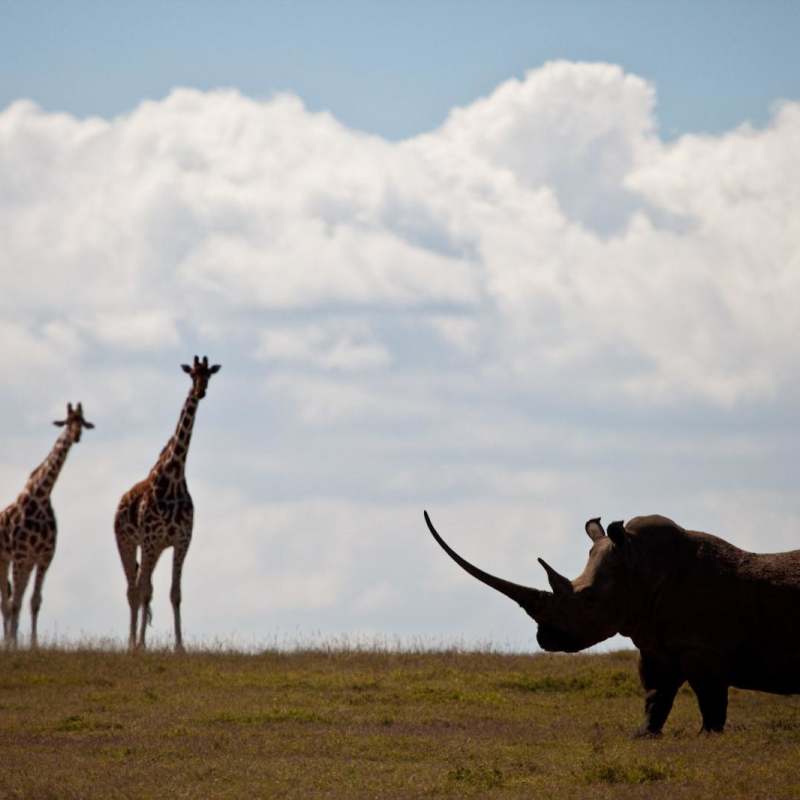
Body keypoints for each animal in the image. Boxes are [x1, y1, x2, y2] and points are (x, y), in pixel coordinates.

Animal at [424, 510, 800, 735]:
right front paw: (644, 735)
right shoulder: (655, 644)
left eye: (589, 600)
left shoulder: (702, 648)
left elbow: (710, 699)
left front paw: (708, 736)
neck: (642, 568)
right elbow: (655, 695)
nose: (545, 638)